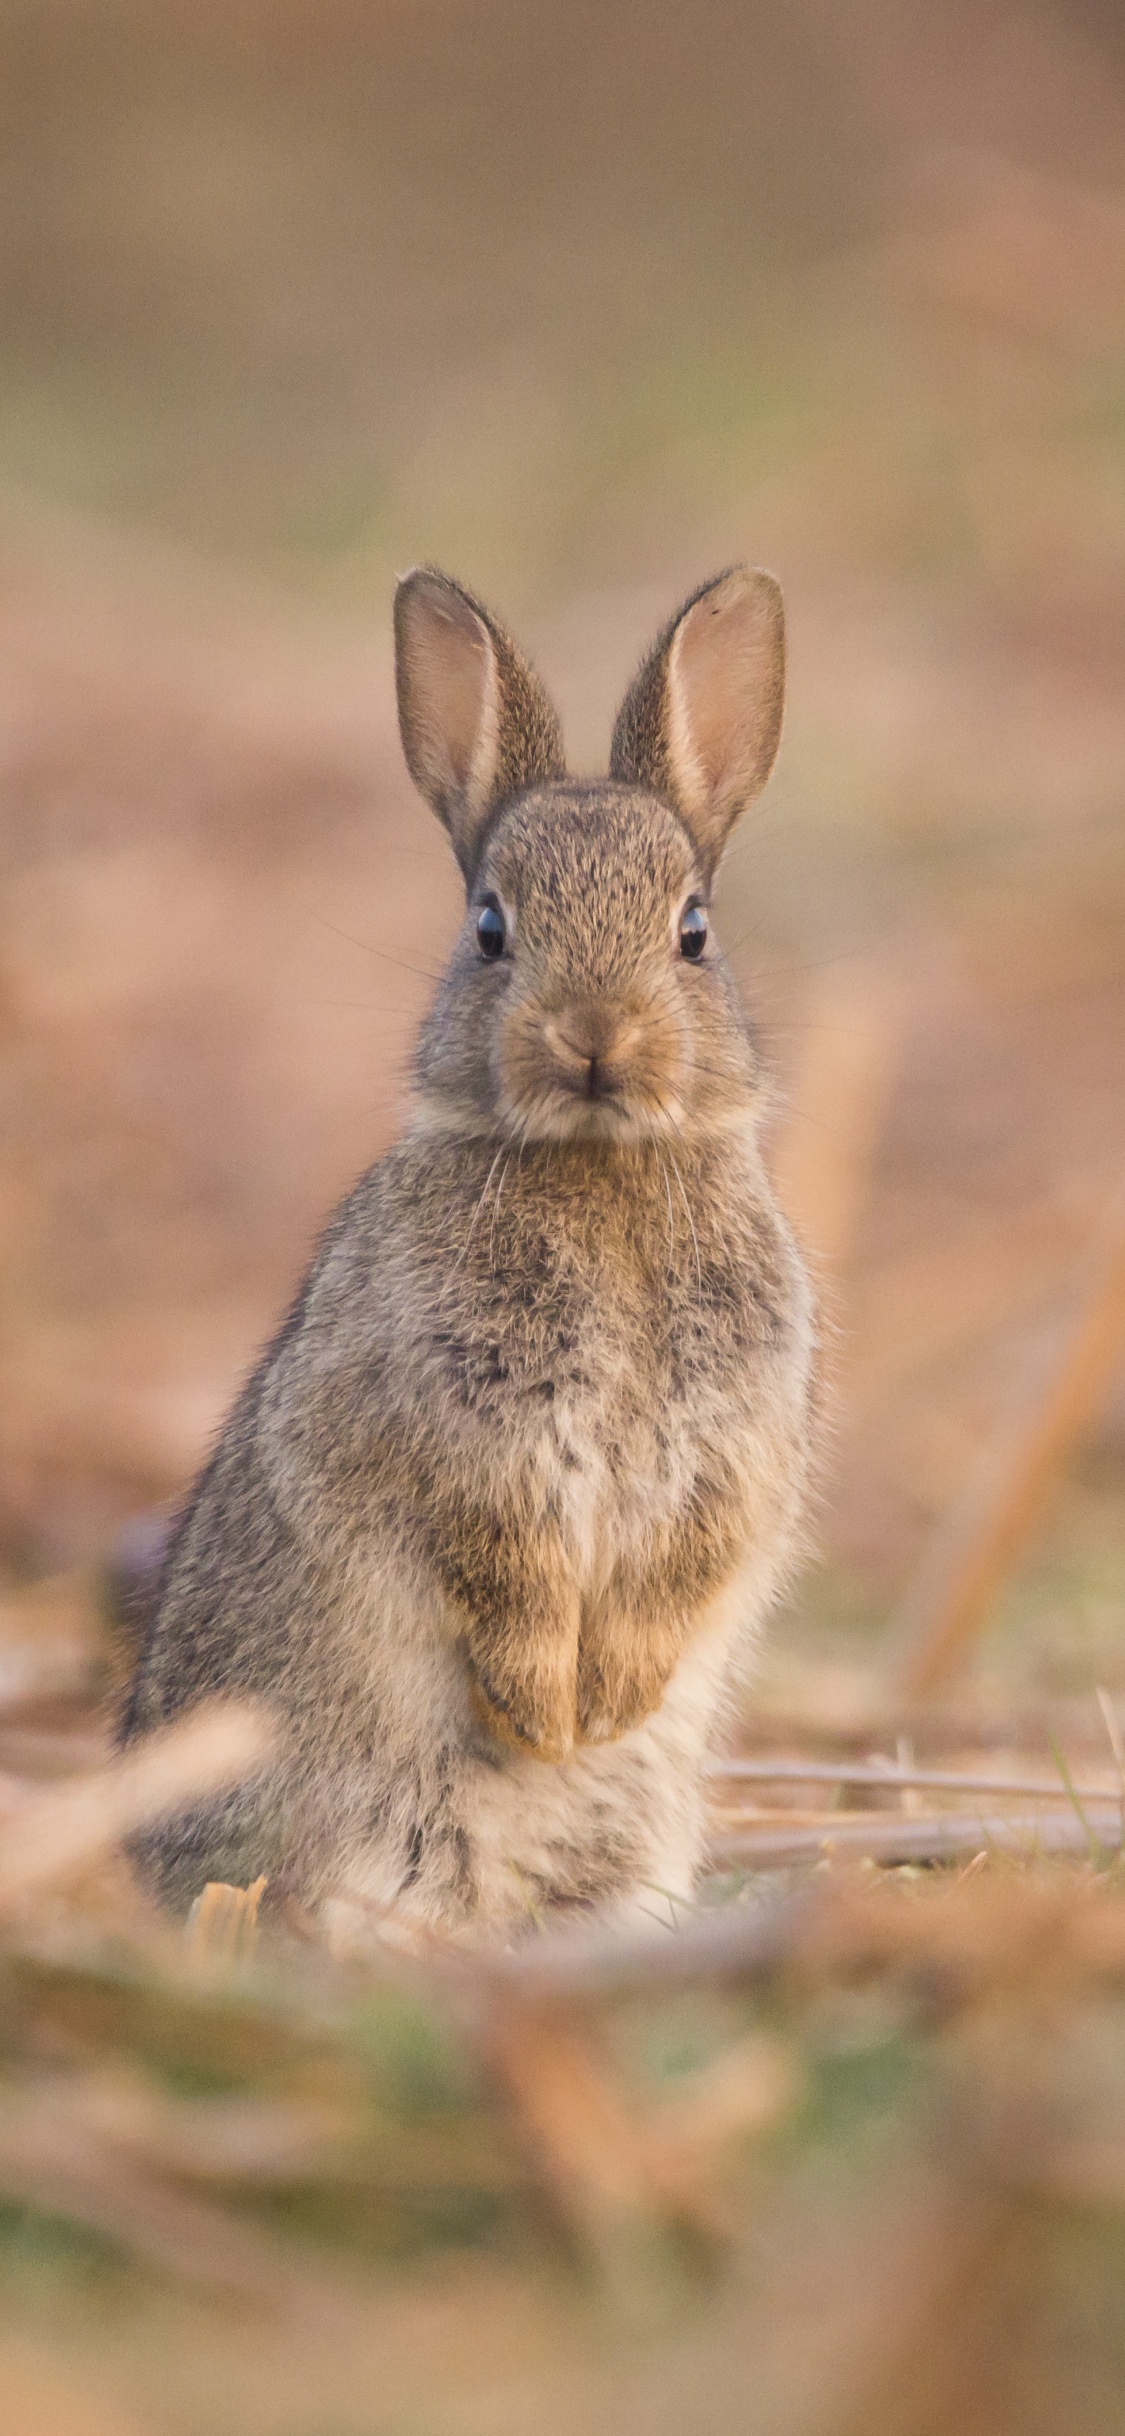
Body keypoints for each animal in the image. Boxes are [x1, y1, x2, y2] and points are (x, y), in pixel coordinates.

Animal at [120, 564, 817, 1940]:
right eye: (491, 928)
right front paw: (548, 1715)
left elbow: (684, 1563)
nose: (595, 1036)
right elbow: (502, 1566)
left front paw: (607, 1705)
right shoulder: (459, 1433)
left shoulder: (733, 1443)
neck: (598, 1163)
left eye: (693, 932)